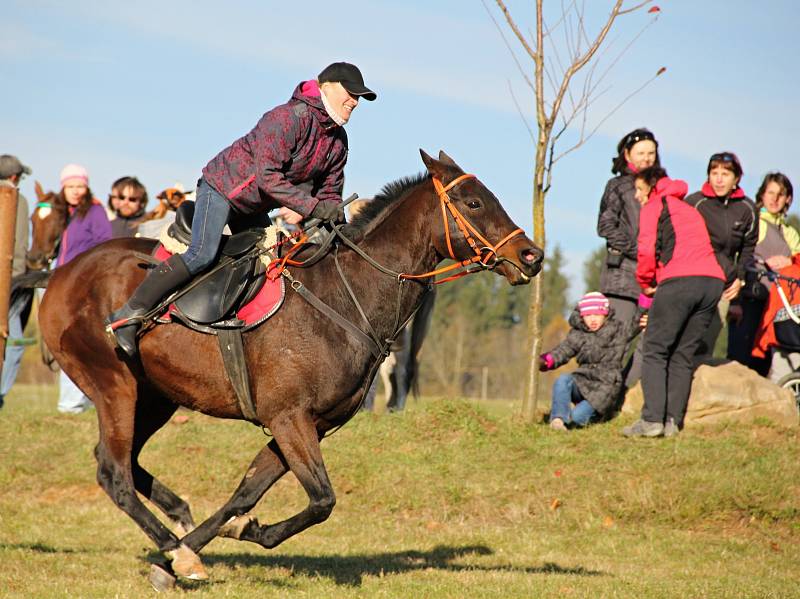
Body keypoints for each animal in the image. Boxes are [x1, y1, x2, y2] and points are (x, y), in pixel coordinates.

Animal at [36, 151, 544, 584]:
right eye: (474, 202)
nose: (532, 256)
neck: (346, 297)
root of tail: (60, 272)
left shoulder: (305, 425)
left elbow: (245, 494)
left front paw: (209, 541)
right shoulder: (289, 419)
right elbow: (322, 500)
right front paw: (212, 546)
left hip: (158, 395)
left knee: (127, 463)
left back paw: (179, 523)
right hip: (114, 384)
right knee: (114, 473)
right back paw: (175, 546)